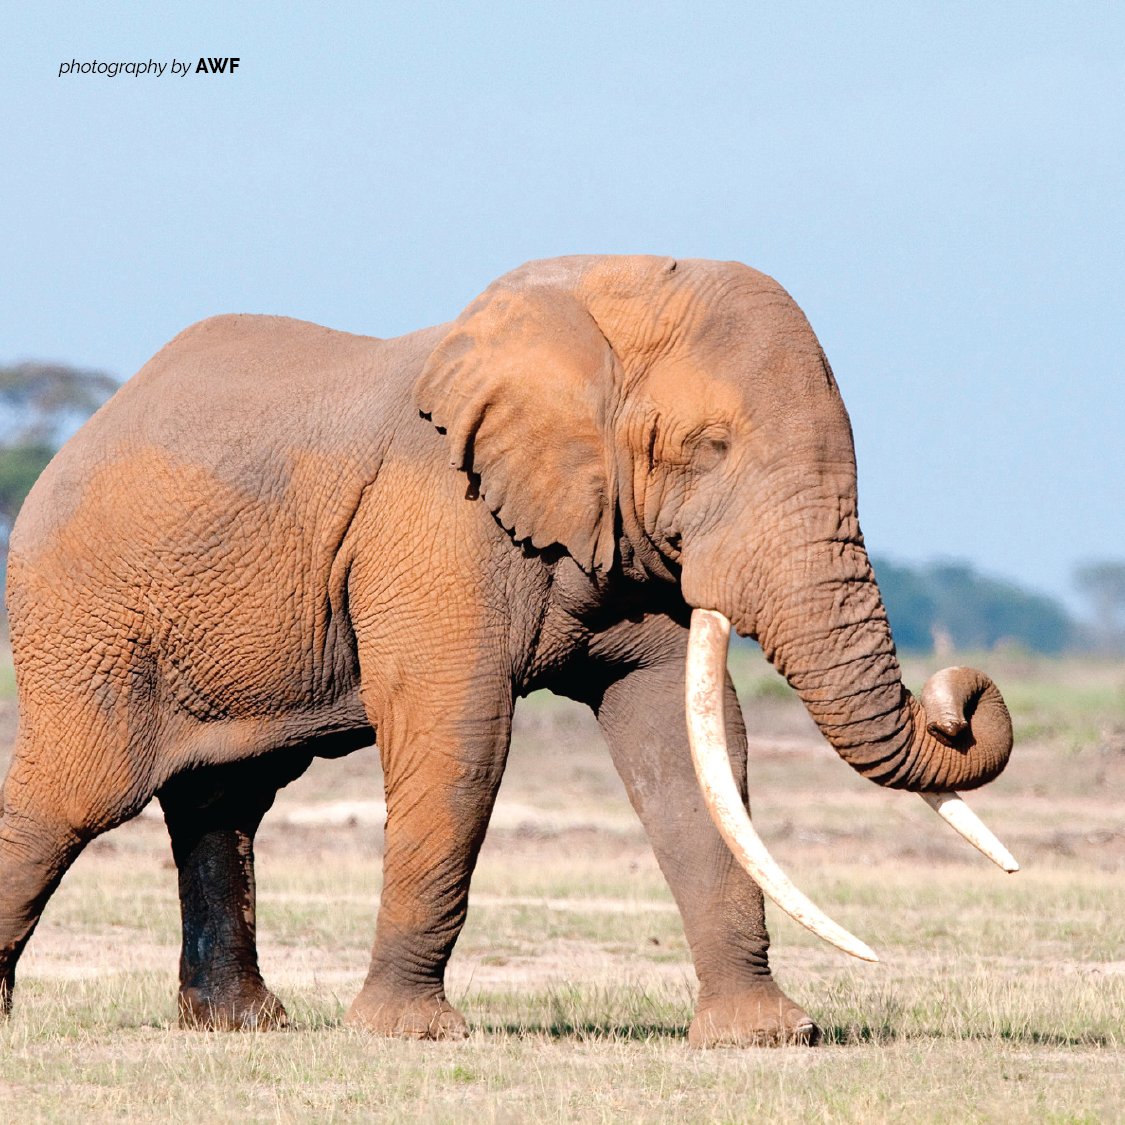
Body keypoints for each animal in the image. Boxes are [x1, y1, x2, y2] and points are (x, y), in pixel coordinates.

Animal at [0, 255, 1017, 1046]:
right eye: (707, 446)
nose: (958, 696)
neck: (591, 312)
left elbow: (685, 739)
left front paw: (765, 1037)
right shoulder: (435, 522)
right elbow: (459, 730)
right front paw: (406, 1036)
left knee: (224, 802)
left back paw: (247, 1026)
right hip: (86, 616)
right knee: (74, 794)